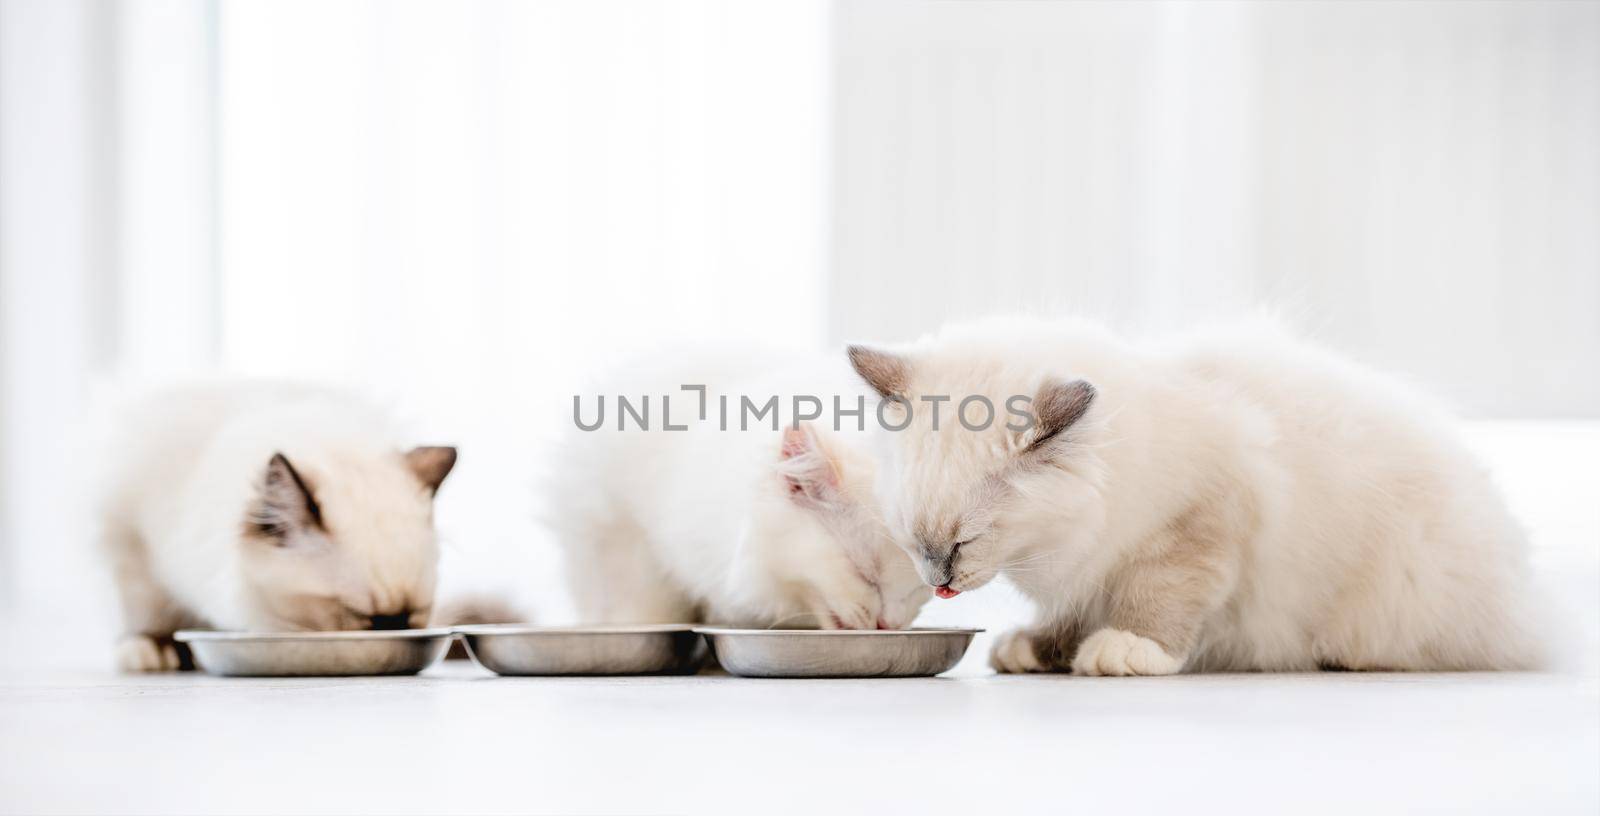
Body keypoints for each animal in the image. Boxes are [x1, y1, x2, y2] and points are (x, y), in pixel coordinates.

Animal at [98, 385, 457, 672]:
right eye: (362, 617)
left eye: (415, 614)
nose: (396, 628)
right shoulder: (133, 539)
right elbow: (148, 609)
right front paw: (153, 648)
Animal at [844, 315, 1542, 672]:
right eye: (914, 542)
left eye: (965, 542)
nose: (939, 583)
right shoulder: (1088, 569)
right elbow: (1068, 617)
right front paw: (1038, 651)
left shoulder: (1195, 526)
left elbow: (1156, 604)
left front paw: (1126, 650)